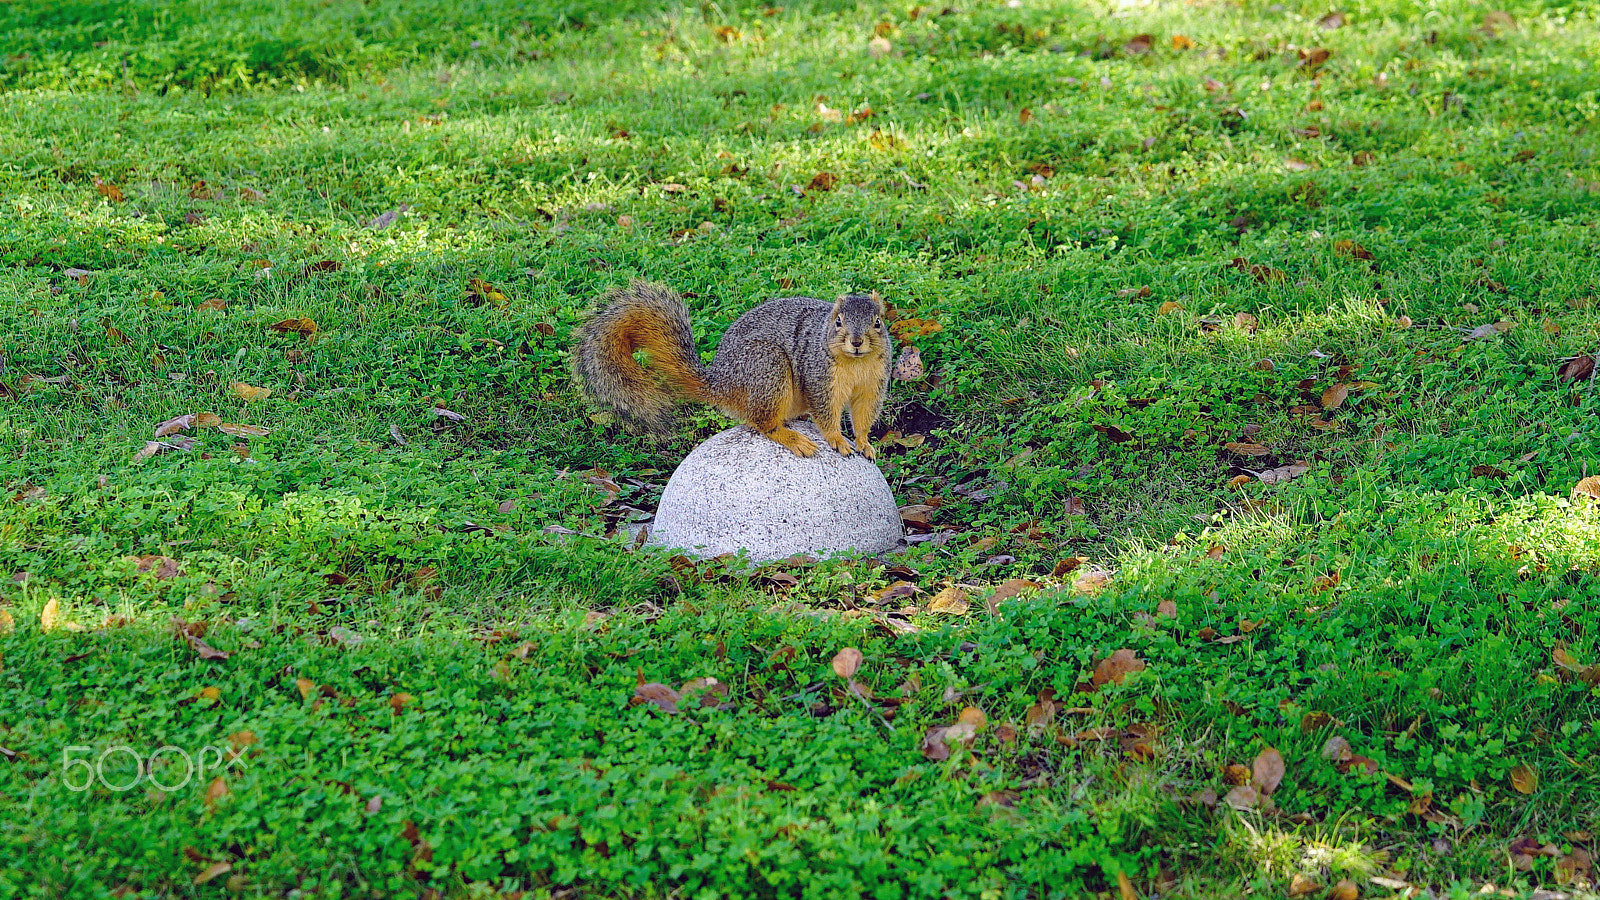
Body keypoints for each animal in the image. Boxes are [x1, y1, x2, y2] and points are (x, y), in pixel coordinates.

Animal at [572, 278, 902, 461]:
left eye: (878, 322)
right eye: (838, 322)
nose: (857, 341)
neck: (856, 363)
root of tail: (720, 383)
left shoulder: (873, 383)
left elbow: (863, 415)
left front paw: (864, 443)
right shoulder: (819, 376)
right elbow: (826, 412)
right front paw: (838, 440)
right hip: (767, 368)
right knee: (763, 424)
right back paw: (792, 439)